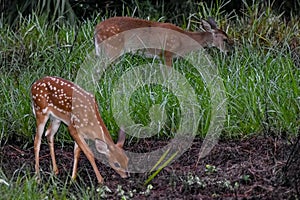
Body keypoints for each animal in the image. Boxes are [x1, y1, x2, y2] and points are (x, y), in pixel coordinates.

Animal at [95, 16, 231, 66]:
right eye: (225, 39)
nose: (229, 52)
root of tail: (96, 29)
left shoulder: (160, 56)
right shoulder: (167, 52)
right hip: (112, 49)